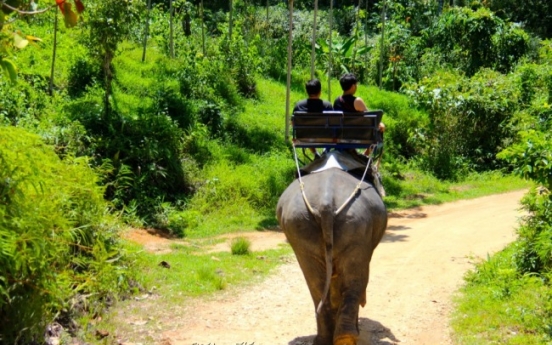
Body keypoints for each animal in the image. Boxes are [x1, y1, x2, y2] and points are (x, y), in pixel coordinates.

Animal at [276, 158, 388, 344]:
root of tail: (326, 201)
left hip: (300, 223)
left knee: (316, 283)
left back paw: (326, 338)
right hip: (354, 222)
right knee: (354, 279)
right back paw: (345, 337)